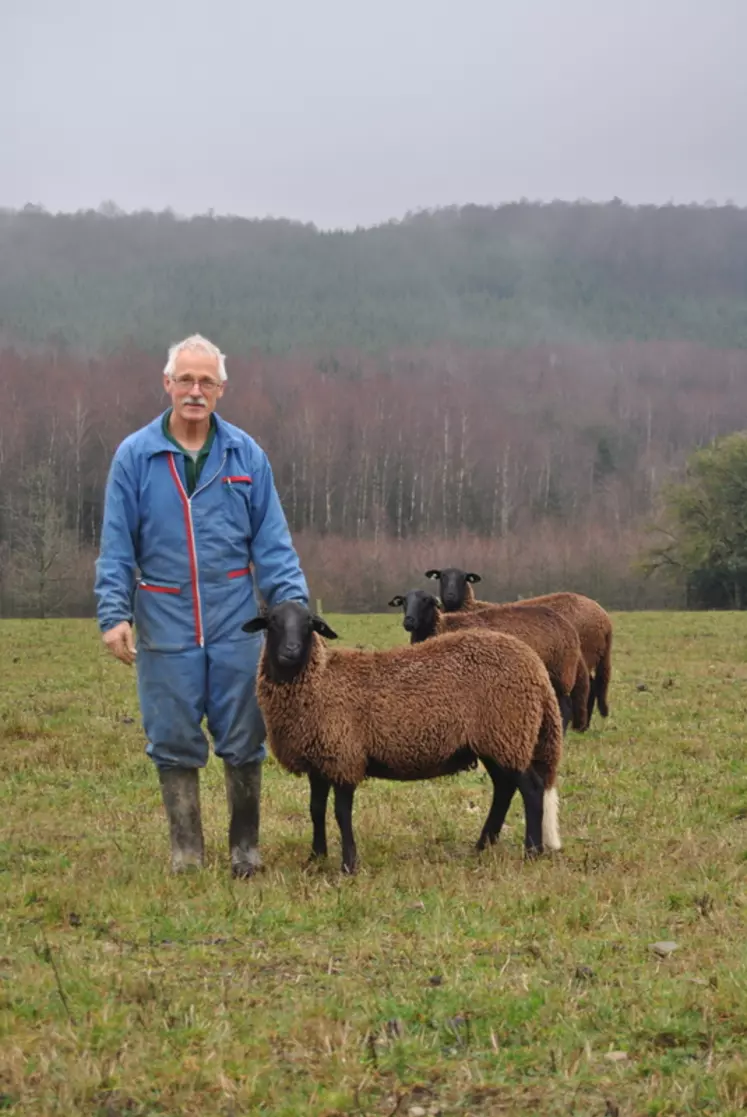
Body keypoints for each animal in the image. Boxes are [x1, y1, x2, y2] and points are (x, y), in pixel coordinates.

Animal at [242, 603, 562, 871]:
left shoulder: (345, 757)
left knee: (531, 789)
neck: (319, 680)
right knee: (504, 789)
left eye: (309, 624)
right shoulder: (319, 760)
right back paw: (483, 846)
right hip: (497, 740)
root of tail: (536, 668)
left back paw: (531, 852)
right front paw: (315, 858)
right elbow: (316, 810)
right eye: (272, 621)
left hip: (508, 732)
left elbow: (341, 813)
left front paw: (348, 865)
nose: (291, 651)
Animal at [388, 589, 589, 737]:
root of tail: (568, 627)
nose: (409, 621)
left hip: (562, 672)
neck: (442, 626)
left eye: (426, 601)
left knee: (565, 706)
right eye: (404, 601)